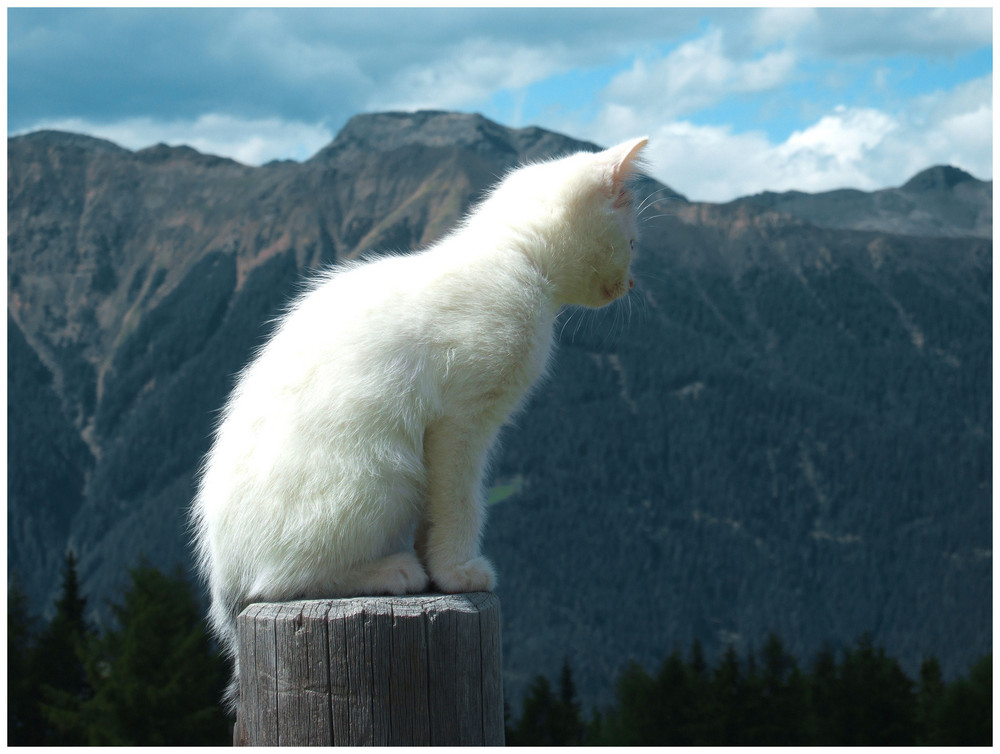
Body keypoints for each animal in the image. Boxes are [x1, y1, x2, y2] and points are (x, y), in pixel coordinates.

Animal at [193, 134, 648, 700]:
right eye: (632, 244)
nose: (632, 283)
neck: (515, 259)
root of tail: (223, 585)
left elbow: (438, 512)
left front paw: (437, 565)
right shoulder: (460, 423)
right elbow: (460, 503)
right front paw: (455, 572)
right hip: (379, 475)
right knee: (276, 583)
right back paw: (390, 572)